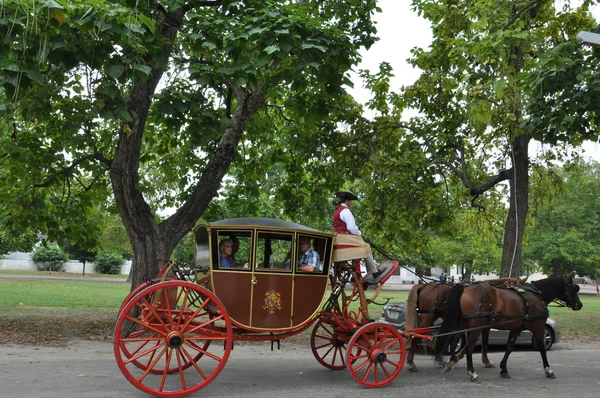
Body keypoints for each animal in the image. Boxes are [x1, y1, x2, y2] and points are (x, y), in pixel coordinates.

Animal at [434, 274, 584, 382]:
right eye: (574, 288)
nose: (580, 305)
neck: (537, 294)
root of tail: (465, 288)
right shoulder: (539, 328)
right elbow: (542, 349)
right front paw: (548, 370)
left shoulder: (516, 328)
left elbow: (509, 348)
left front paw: (504, 369)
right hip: (476, 327)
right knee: (469, 347)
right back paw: (472, 373)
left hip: (463, 324)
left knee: (453, 341)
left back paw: (451, 362)